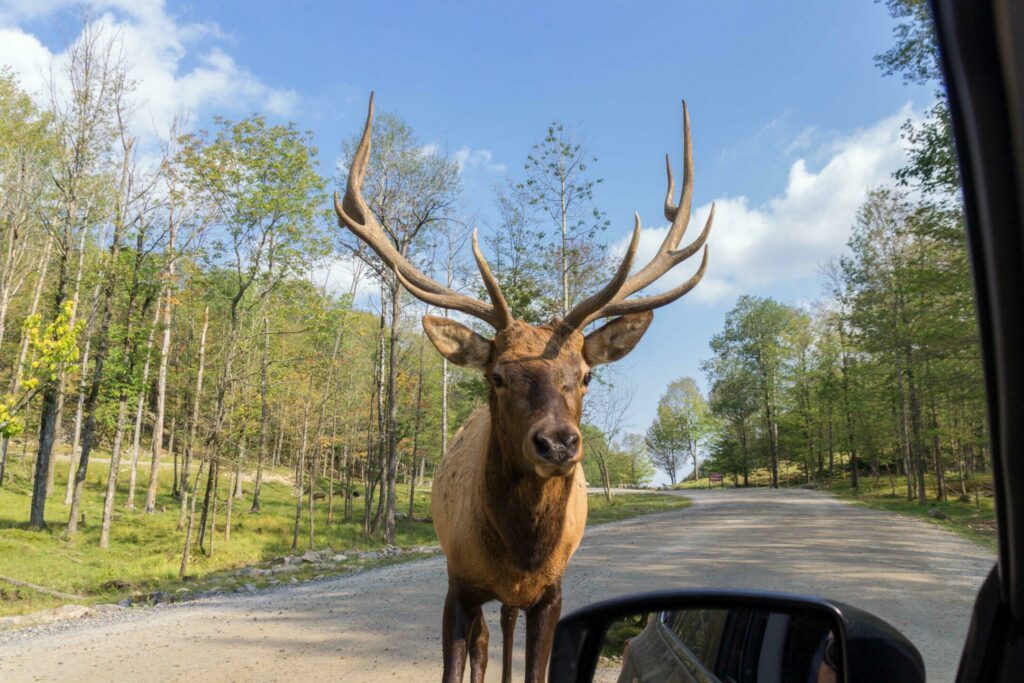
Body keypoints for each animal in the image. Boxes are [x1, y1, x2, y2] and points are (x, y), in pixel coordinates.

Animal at [333, 94, 712, 683]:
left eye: (585, 374)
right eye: (498, 375)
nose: (557, 443)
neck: (520, 556)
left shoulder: (550, 593)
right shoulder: (458, 584)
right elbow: (458, 663)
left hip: (517, 601)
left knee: (503, 629)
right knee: (487, 643)